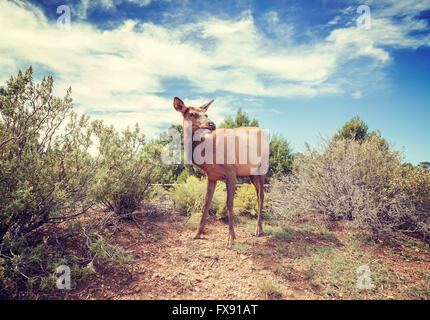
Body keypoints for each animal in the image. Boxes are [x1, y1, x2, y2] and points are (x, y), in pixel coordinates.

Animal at [172, 96, 268, 244]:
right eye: (192, 114)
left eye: (206, 114)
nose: (212, 124)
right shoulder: (211, 176)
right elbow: (206, 202)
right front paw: (197, 233)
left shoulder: (231, 171)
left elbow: (229, 203)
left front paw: (231, 238)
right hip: (251, 172)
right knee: (258, 193)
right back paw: (260, 228)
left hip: (263, 167)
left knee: (261, 195)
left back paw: (258, 230)